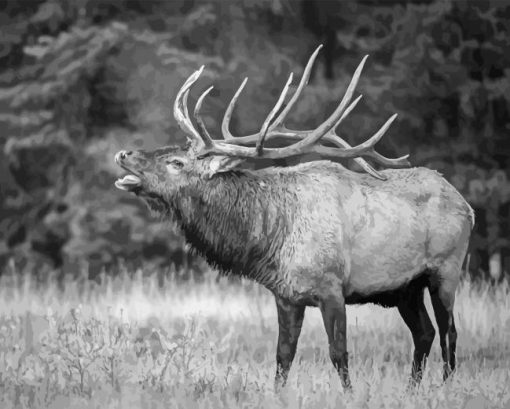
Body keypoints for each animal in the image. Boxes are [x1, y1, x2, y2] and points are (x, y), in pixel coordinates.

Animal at [114, 46, 474, 390]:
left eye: (176, 162)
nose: (123, 153)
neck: (272, 238)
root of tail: (466, 205)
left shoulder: (332, 286)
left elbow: (339, 353)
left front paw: (350, 395)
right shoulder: (286, 295)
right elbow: (283, 356)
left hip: (445, 270)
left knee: (449, 333)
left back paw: (444, 388)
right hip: (405, 288)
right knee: (424, 333)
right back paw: (412, 390)